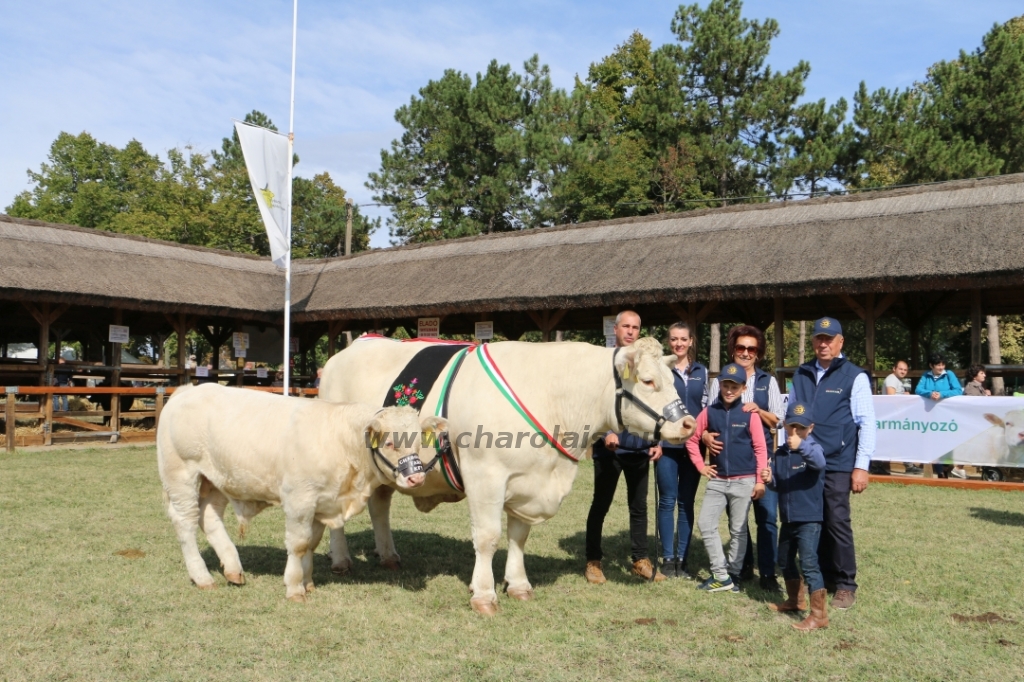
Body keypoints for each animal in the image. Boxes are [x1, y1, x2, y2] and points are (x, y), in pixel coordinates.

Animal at [156, 382, 444, 602]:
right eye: (390, 442)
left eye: (419, 442)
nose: (417, 477)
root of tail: (187, 390)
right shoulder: (299, 500)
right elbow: (299, 544)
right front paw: (295, 587)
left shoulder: (321, 502)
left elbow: (312, 543)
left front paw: (308, 582)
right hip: (181, 475)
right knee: (185, 522)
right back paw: (202, 576)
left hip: (215, 479)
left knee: (209, 516)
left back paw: (233, 570)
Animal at [321, 337, 696, 614]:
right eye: (648, 381)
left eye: (671, 380)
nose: (689, 424)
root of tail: (348, 349)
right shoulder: (485, 476)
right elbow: (488, 538)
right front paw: (484, 595)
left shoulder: (528, 482)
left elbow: (518, 537)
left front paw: (518, 585)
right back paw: (341, 561)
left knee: (380, 506)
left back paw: (388, 556)